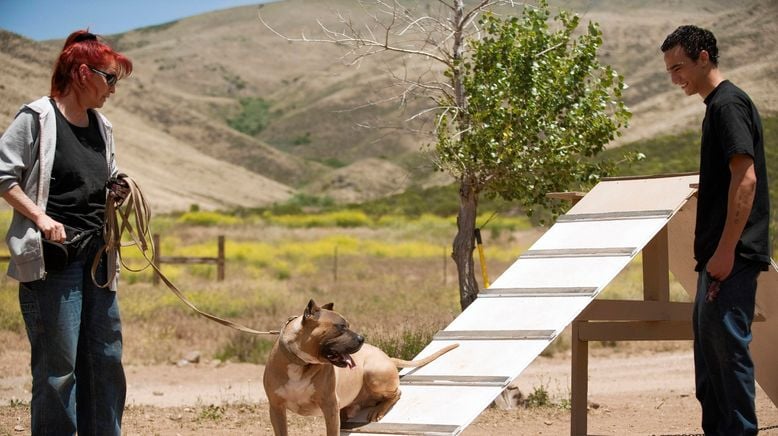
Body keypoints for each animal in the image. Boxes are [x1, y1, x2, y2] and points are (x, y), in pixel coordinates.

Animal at [262, 300, 454, 436]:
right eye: (341, 327)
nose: (362, 338)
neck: (301, 364)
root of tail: (387, 356)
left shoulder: (330, 407)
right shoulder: (276, 409)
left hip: (373, 374)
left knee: (397, 393)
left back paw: (378, 411)